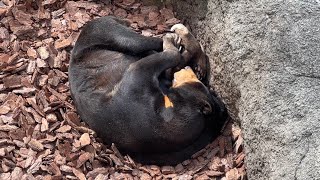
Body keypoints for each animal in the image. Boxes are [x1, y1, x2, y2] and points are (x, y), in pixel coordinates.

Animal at [68, 15, 226, 165]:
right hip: (105, 31)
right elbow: (174, 58)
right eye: (199, 84)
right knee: (148, 42)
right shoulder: (137, 83)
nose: (190, 70)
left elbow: (174, 61)